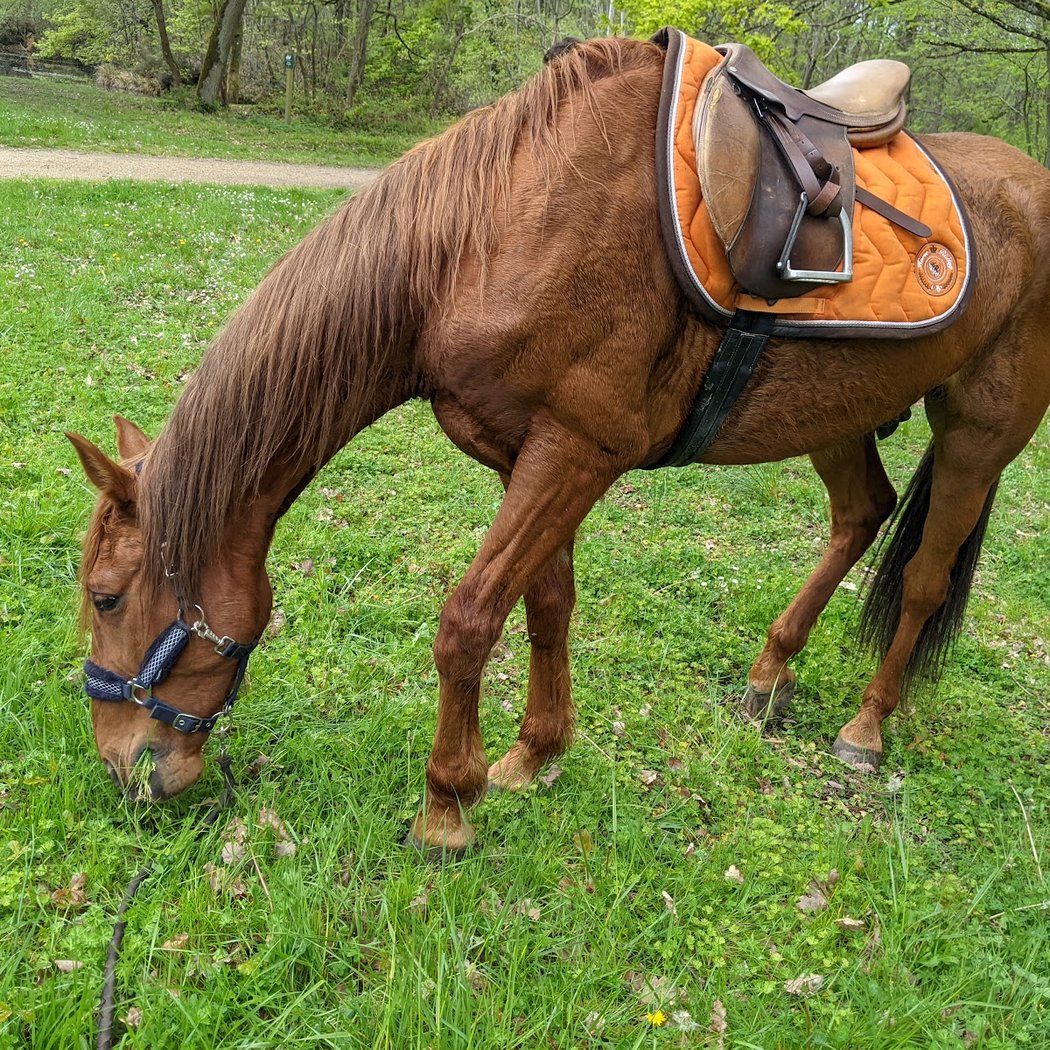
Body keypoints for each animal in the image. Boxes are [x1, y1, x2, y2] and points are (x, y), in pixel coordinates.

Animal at [67, 35, 1050, 854]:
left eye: (108, 598)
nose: (122, 766)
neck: (484, 240)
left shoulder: (578, 452)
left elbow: (468, 621)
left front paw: (447, 806)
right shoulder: (528, 455)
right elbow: (547, 604)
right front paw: (533, 755)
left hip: (979, 434)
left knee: (923, 579)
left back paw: (866, 728)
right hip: (834, 415)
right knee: (861, 514)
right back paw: (771, 675)